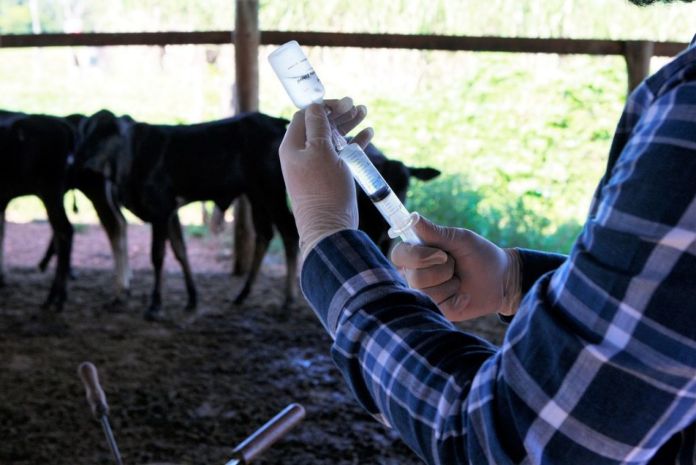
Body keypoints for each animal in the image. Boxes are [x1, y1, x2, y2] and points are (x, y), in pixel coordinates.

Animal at [75, 109, 298, 320]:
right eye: (86, 132)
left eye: (104, 133)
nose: (81, 160)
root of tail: (275, 120)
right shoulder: (171, 211)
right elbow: (180, 250)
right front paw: (192, 298)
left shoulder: (160, 210)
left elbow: (157, 255)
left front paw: (155, 306)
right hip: (256, 195)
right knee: (264, 233)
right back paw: (242, 294)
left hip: (273, 192)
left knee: (289, 232)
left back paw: (288, 301)